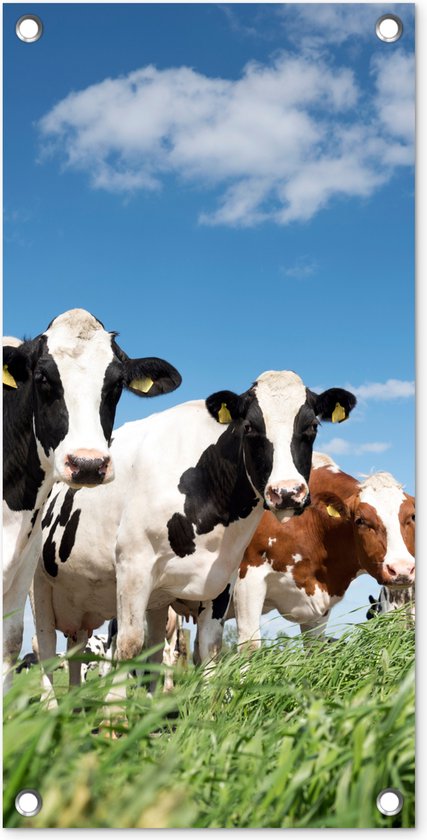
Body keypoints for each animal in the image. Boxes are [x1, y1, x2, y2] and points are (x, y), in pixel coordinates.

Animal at [30, 370, 356, 707]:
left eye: (312, 426)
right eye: (249, 427)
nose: (288, 492)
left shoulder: (222, 580)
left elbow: (209, 648)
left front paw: (210, 709)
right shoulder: (133, 566)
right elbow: (130, 644)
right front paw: (114, 715)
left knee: (88, 651)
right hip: (38, 585)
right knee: (45, 648)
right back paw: (52, 706)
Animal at [191, 453, 415, 658]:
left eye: (411, 517)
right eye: (360, 520)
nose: (402, 569)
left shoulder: (321, 597)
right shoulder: (249, 577)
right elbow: (250, 647)